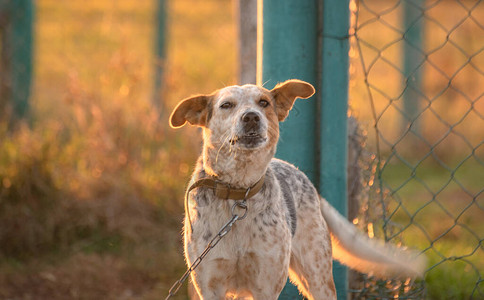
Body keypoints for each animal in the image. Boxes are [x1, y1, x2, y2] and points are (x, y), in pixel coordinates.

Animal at [169, 79, 424, 300]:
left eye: (264, 103)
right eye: (226, 105)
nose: (251, 117)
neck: (238, 193)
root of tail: (301, 174)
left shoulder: (266, 285)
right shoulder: (210, 284)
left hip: (318, 277)